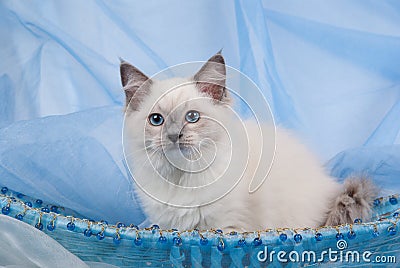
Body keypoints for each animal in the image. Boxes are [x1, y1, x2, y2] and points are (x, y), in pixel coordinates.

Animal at [120, 52, 376, 232]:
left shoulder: (227, 226)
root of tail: (329, 185)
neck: (181, 178)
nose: (174, 136)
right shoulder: (170, 227)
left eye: (192, 117)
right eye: (157, 120)